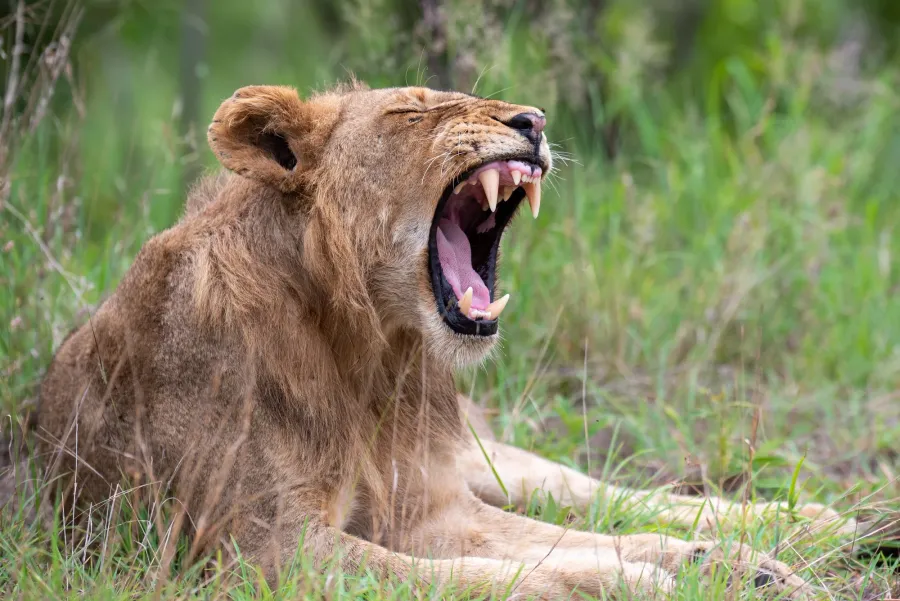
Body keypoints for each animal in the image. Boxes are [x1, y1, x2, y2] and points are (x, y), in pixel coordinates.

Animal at [34, 83, 853, 599]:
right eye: (410, 113)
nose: (534, 120)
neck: (367, 350)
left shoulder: (427, 509)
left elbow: (547, 541)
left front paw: (724, 565)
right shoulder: (259, 548)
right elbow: (492, 572)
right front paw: (647, 579)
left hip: (480, 457)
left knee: (589, 489)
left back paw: (807, 522)